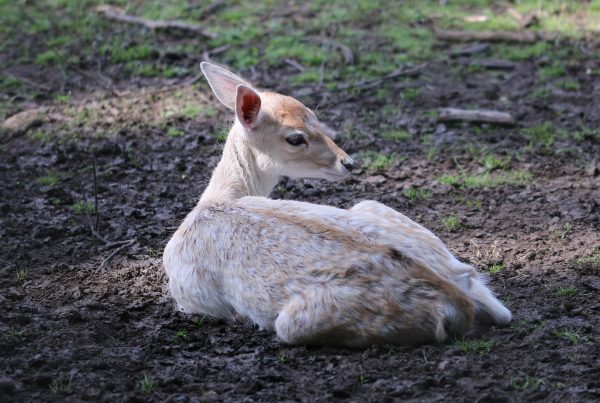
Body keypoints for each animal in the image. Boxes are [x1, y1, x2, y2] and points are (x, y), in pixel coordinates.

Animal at [163, 62, 510, 348]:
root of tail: (460, 294)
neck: (217, 198)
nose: (348, 163)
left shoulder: (190, 295)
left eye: (318, 117)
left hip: (296, 321)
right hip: (374, 208)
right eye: (295, 138)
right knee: (503, 312)